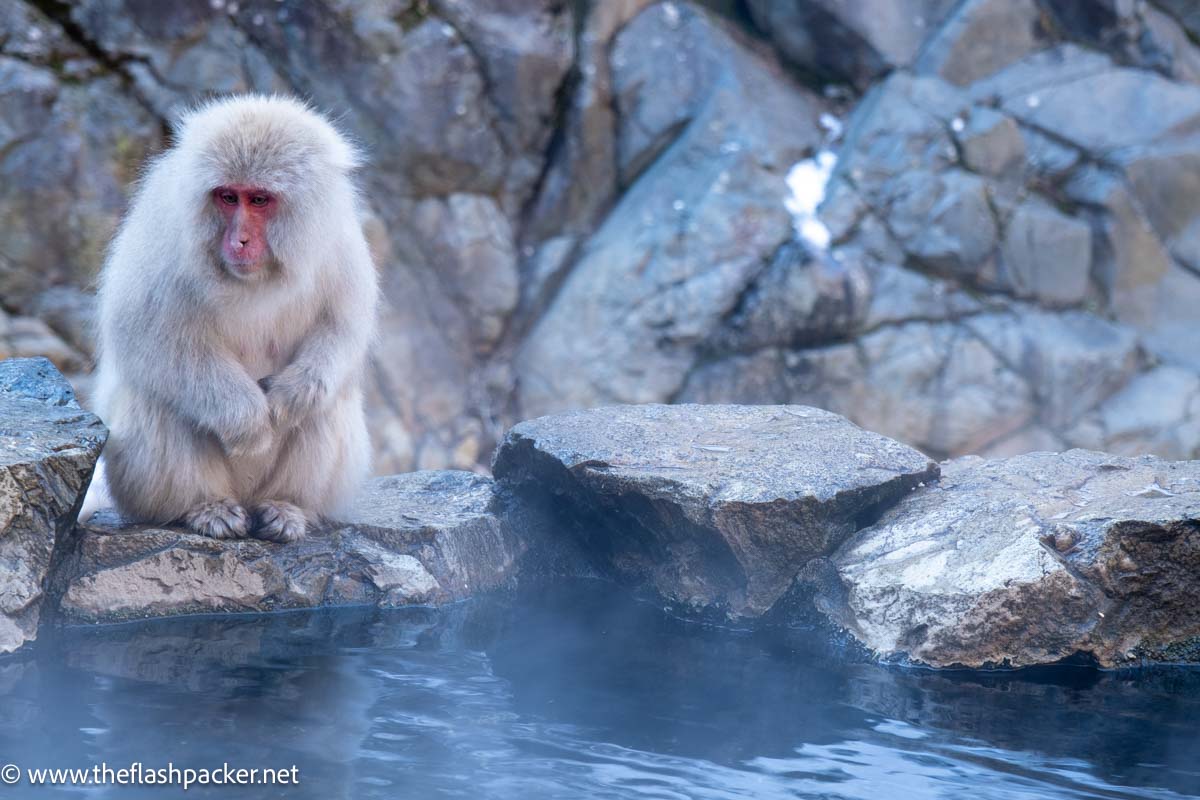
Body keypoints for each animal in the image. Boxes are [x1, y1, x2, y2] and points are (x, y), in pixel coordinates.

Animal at [90, 95, 376, 544]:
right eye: (227, 197)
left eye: (258, 199)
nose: (239, 240)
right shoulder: (164, 230)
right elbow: (148, 335)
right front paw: (248, 422)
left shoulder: (337, 236)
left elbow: (342, 327)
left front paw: (291, 396)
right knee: (159, 398)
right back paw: (206, 507)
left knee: (328, 402)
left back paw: (286, 505)